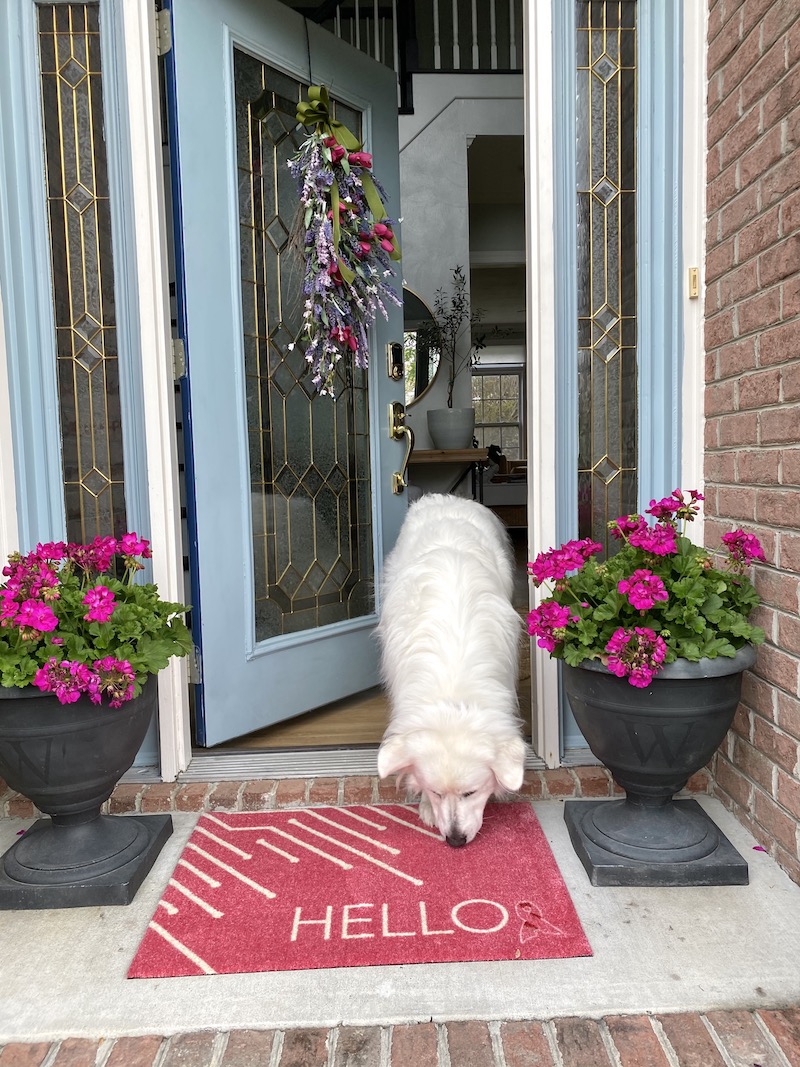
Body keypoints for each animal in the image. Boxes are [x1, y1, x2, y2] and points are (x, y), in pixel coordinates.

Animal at [377, 492, 529, 849]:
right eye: (435, 791)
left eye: (471, 792)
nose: (455, 841)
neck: (452, 693)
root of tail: (447, 496)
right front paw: (425, 808)